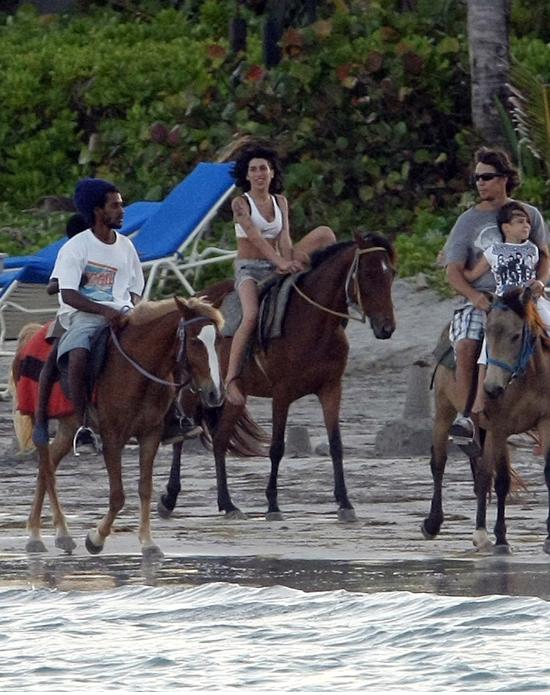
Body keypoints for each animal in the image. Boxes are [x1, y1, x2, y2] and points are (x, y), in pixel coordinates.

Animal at [12, 298, 224, 560]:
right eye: (194, 340)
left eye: (218, 340)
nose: (215, 393)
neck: (137, 369)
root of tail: (31, 334)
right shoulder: (113, 438)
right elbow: (117, 496)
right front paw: (96, 538)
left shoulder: (150, 435)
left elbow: (145, 488)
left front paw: (148, 542)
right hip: (38, 420)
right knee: (47, 467)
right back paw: (48, 535)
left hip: (68, 427)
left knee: (48, 464)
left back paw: (49, 533)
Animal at [158, 234, 396, 520]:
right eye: (368, 273)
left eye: (391, 274)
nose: (387, 327)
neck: (312, 322)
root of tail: (189, 305)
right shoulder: (282, 393)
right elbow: (277, 448)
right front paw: (272, 504)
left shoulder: (331, 389)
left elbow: (336, 444)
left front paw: (345, 503)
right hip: (196, 389)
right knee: (184, 436)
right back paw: (170, 499)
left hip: (232, 396)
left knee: (220, 441)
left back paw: (227, 504)